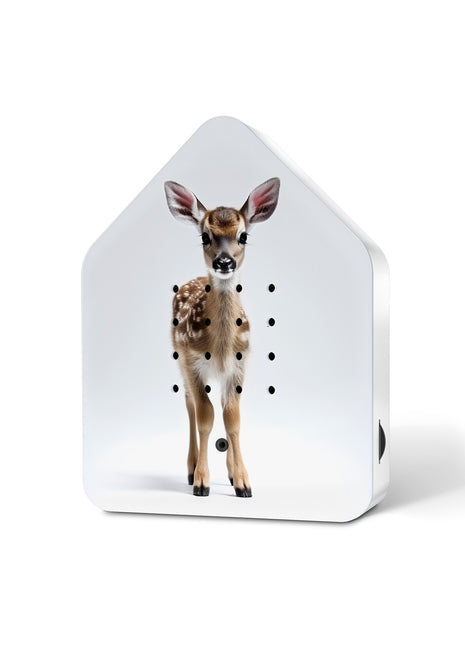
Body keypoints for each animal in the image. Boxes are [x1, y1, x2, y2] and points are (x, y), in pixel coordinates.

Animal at [164, 177, 280, 497]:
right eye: (205, 236)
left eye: (243, 236)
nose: (224, 262)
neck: (220, 348)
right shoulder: (192, 362)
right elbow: (205, 417)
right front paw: (201, 482)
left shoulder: (238, 367)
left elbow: (232, 419)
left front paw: (242, 481)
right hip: (180, 360)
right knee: (191, 405)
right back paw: (191, 469)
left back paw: (227, 472)